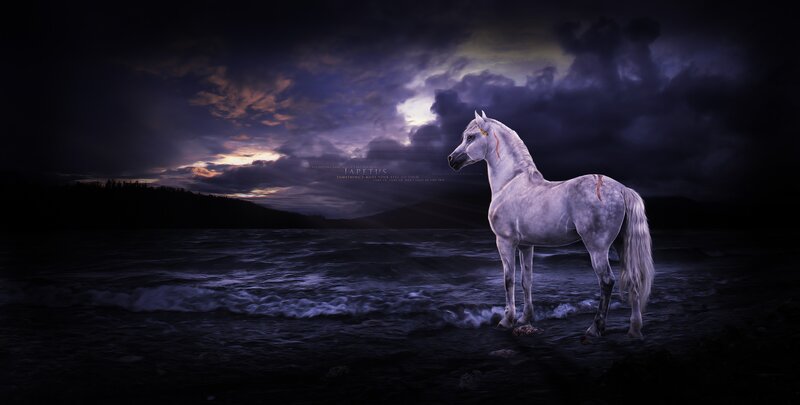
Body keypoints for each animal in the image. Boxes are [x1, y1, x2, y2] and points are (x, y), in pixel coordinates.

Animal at [447, 111, 654, 338]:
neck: (511, 183)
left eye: (471, 137)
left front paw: (506, 321)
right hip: (621, 244)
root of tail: (621, 189)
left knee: (607, 281)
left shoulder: (505, 242)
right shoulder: (526, 245)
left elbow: (508, 280)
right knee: (634, 280)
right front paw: (525, 318)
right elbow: (526, 281)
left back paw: (594, 329)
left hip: (597, 248)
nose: (451, 159)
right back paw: (634, 330)